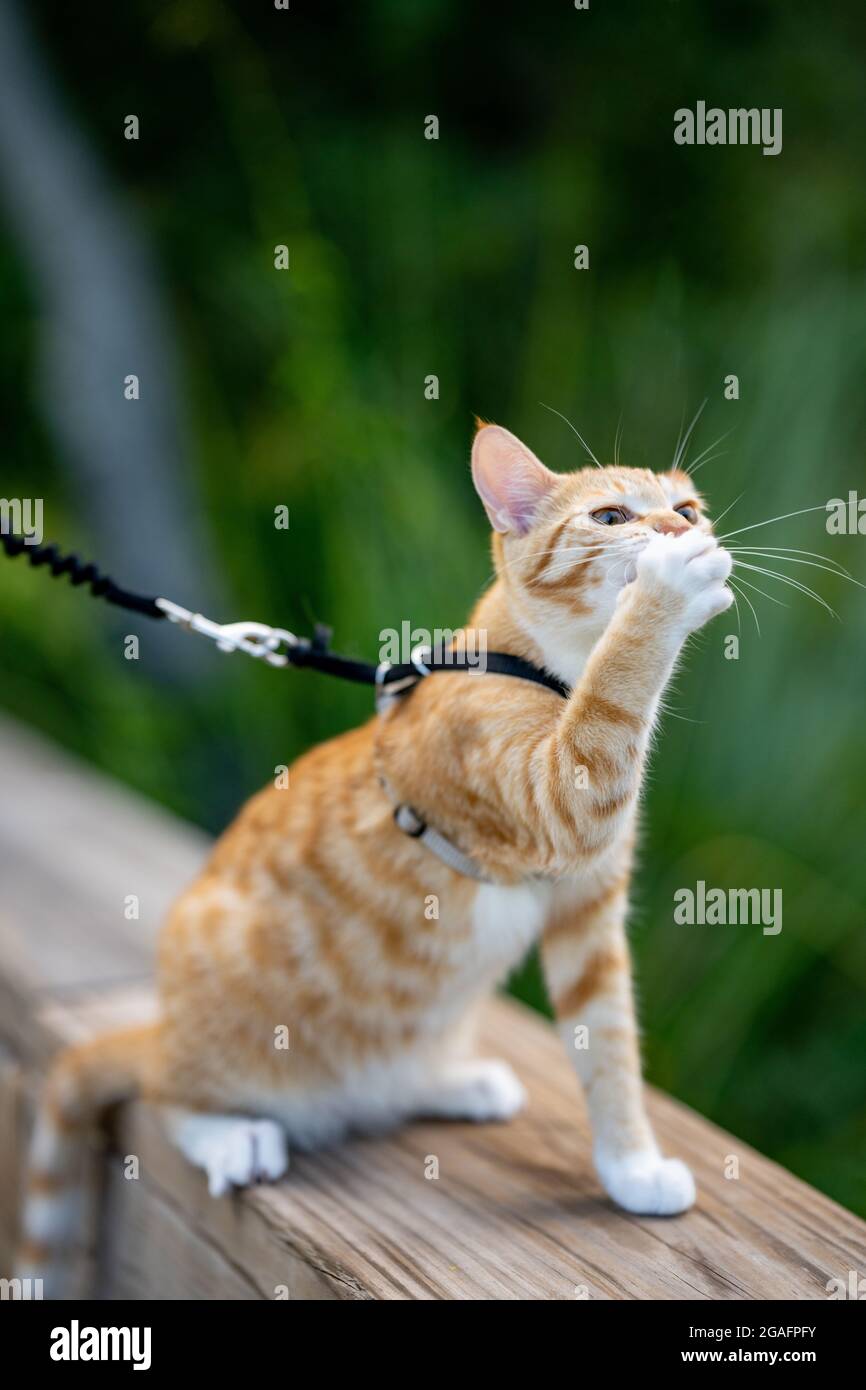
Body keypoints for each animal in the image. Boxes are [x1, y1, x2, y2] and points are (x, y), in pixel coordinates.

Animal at [16, 419, 733, 1289]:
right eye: (610, 516)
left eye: (687, 507)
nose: (680, 530)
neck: (552, 670)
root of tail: (162, 1031)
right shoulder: (562, 795)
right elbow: (619, 688)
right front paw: (665, 595)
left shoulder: (587, 910)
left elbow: (611, 1049)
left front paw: (631, 1169)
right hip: (212, 1005)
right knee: (166, 1092)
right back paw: (227, 1131)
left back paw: (451, 1081)